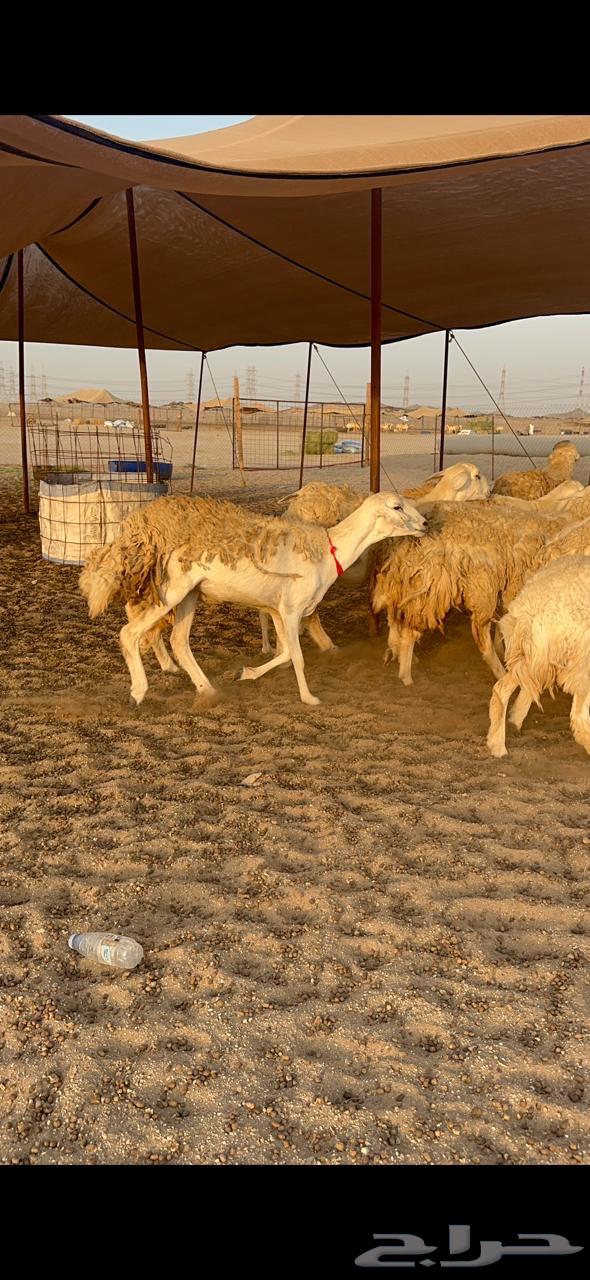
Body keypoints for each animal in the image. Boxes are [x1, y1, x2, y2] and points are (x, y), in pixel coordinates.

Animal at [79, 491, 426, 708]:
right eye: (396, 506)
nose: (424, 524)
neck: (329, 551)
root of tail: (136, 529)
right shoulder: (291, 609)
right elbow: (297, 656)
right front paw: (309, 698)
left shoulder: (277, 609)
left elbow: (284, 654)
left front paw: (245, 673)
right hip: (171, 590)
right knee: (130, 633)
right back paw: (137, 693)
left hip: (190, 593)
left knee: (179, 640)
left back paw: (208, 690)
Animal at [487, 556, 590, 758]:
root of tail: (529, 611)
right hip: (578, 659)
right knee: (579, 715)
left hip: (532, 657)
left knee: (501, 689)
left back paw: (498, 744)